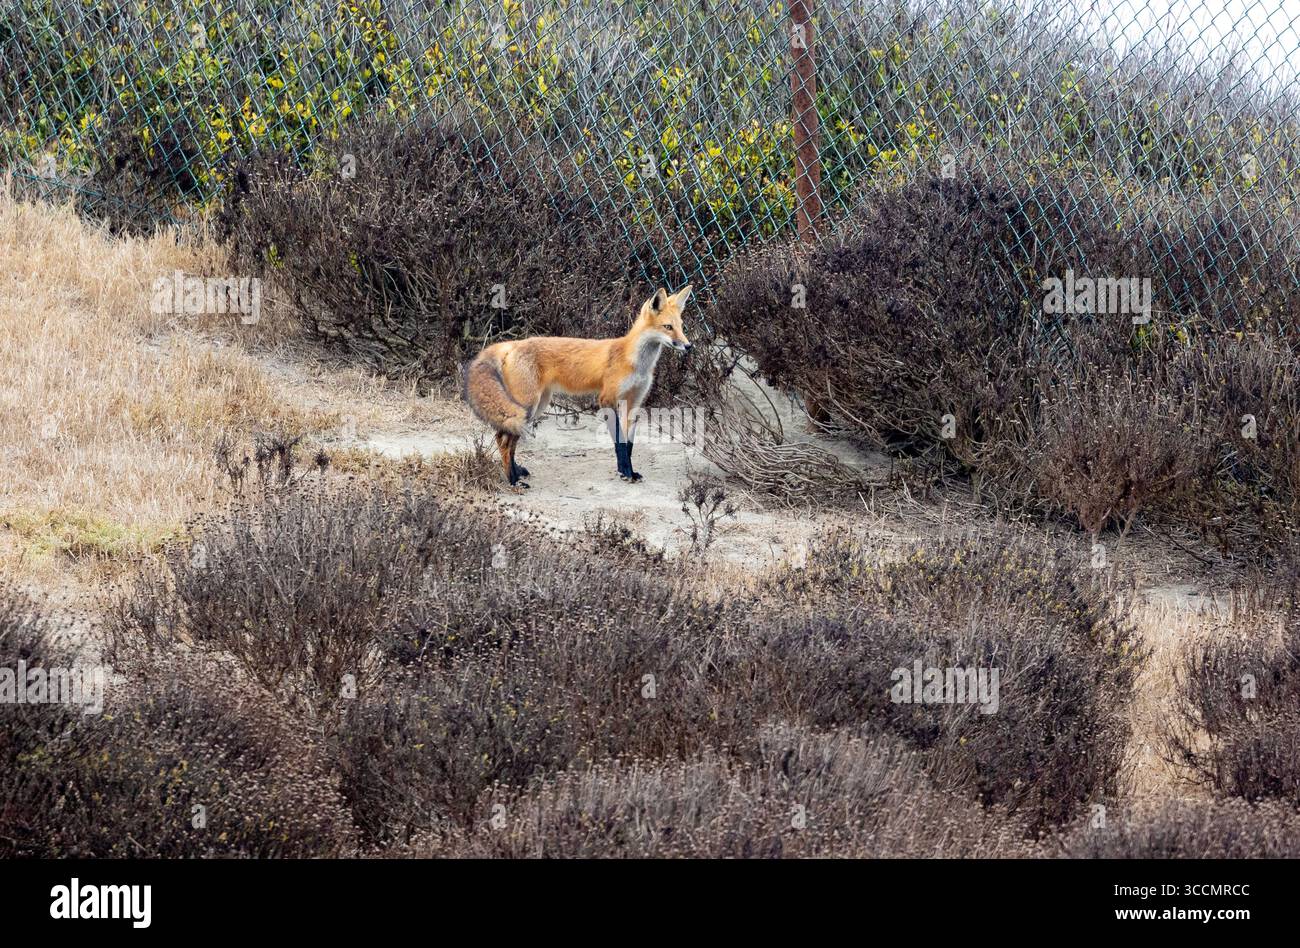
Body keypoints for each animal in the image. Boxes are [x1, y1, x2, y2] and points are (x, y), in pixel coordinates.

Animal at [463, 284, 694, 487]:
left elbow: (628, 444)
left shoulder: (634, 403)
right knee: (504, 441)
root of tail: (513, 344)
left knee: (506, 440)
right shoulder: (607, 399)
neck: (636, 363)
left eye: (681, 327)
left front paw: (627, 471)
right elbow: (619, 443)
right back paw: (512, 480)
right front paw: (627, 473)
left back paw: (517, 471)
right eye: (668, 327)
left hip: (537, 406)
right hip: (527, 406)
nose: (688, 346)